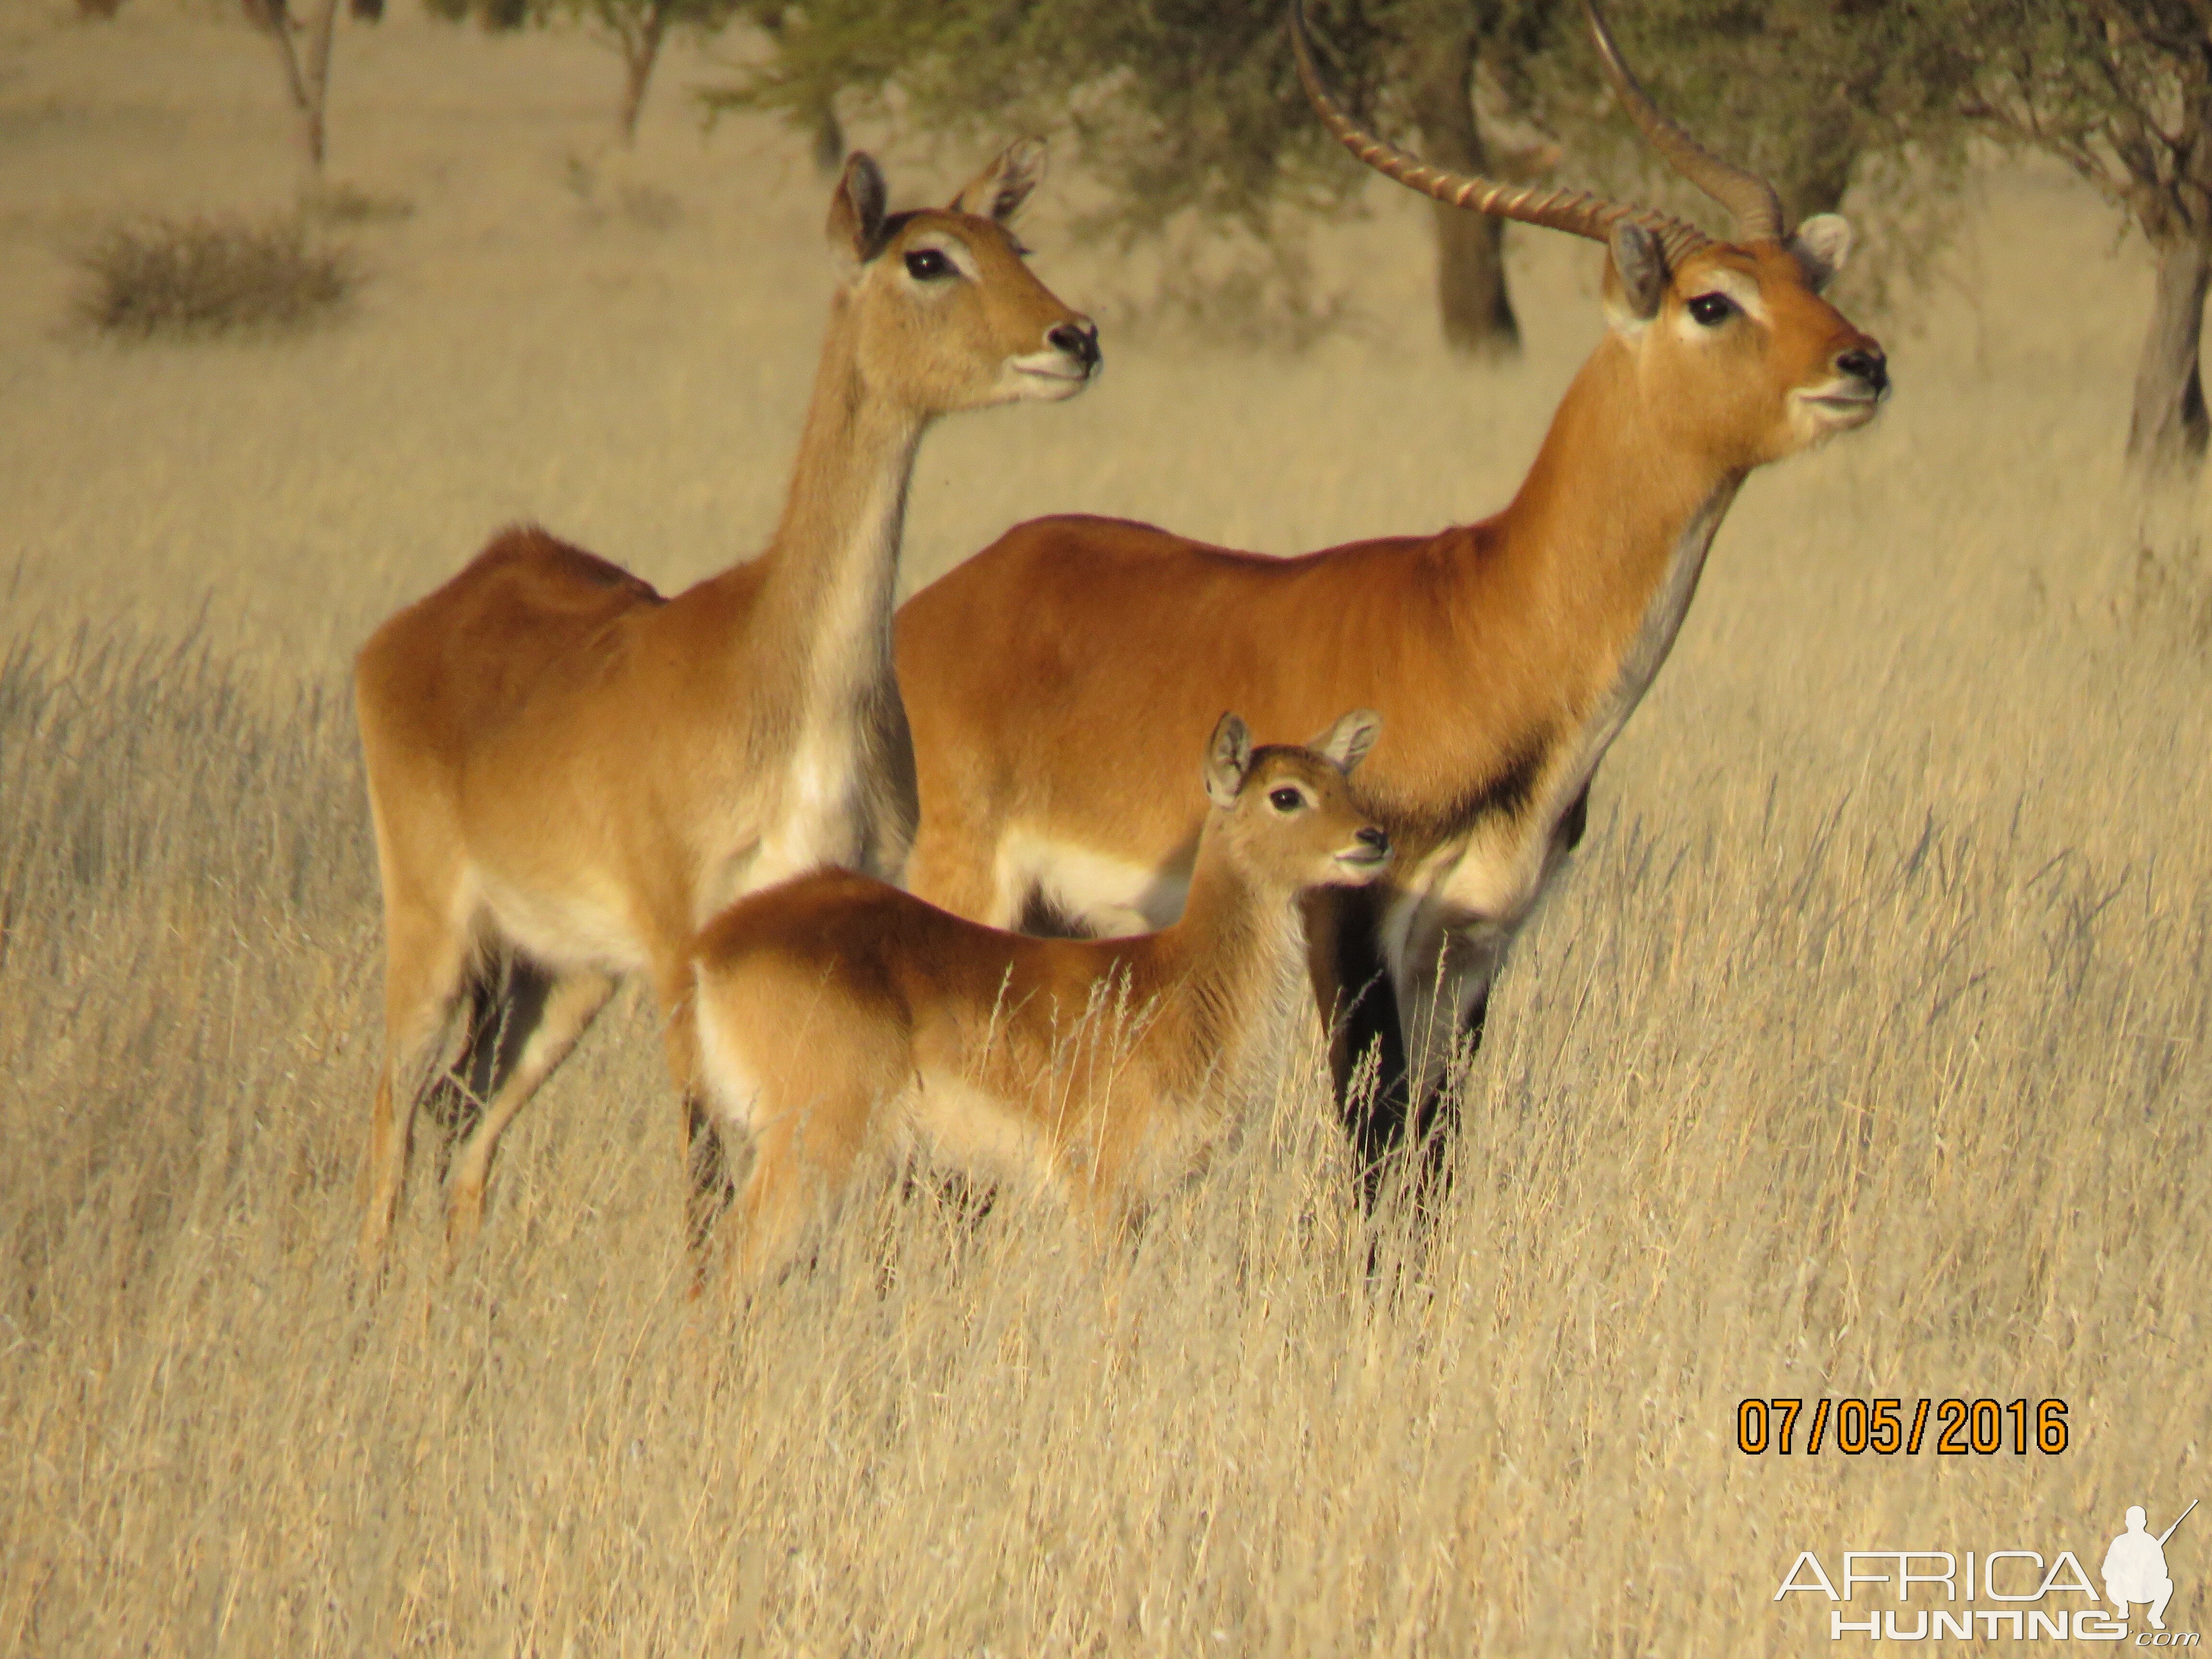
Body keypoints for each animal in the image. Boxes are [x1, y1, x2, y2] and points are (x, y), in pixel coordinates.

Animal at [356, 146, 1106, 1274]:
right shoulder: (684, 949)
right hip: (436, 936)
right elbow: (708, 1177)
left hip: (560, 981)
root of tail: (438, 605)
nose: (1075, 337)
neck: (789, 695)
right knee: (394, 1119)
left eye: (1017, 242)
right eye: (929, 257)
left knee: (466, 1125)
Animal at [694, 708, 1380, 1283]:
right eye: (1286, 795)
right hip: (812, 1155)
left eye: (1344, 782)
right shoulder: (1102, 1194)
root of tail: (714, 944)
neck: (1179, 983)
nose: (1373, 838)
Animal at [889, 3, 1893, 1168]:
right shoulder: (1354, 921)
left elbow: (1432, 1159)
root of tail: (924, 614)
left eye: (1810, 283)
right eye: (1713, 302)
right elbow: (1372, 1145)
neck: (1483, 620)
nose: (1863, 363)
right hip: (964, 888)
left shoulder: (1474, 946)